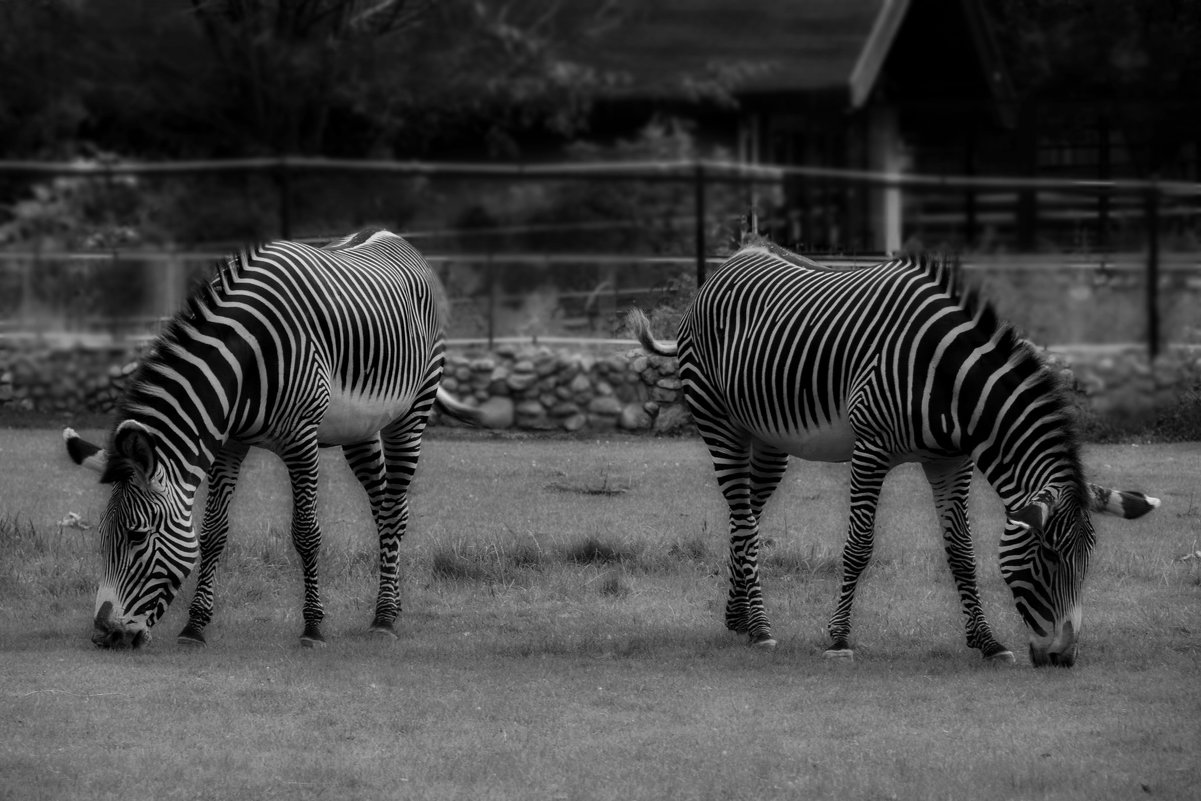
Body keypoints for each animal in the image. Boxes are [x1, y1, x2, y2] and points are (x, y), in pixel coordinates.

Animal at [65, 226, 482, 653]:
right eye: (102, 536)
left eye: (137, 536)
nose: (105, 635)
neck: (243, 363)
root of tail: (393, 236)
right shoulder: (228, 443)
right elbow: (213, 532)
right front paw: (195, 626)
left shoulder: (302, 441)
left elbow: (306, 533)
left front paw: (313, 627)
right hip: (360, 429)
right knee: (383, 509)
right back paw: (392, 608)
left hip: (412, 411)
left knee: (396, 510)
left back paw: (383, 618)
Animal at [634, 246, 1157, 672]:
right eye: (1047, 557)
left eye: (1087, 560)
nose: (1063, 659)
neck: (950, 383)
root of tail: (728, 264)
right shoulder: (871, 449)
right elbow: (859, 545)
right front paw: (839, 640)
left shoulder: (951, 461)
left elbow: (962, 551)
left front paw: (987, 642)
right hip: (718, 421)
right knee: (743, 520)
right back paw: (761, 627)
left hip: (766, 439)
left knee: (744, 512)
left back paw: (738, 617)